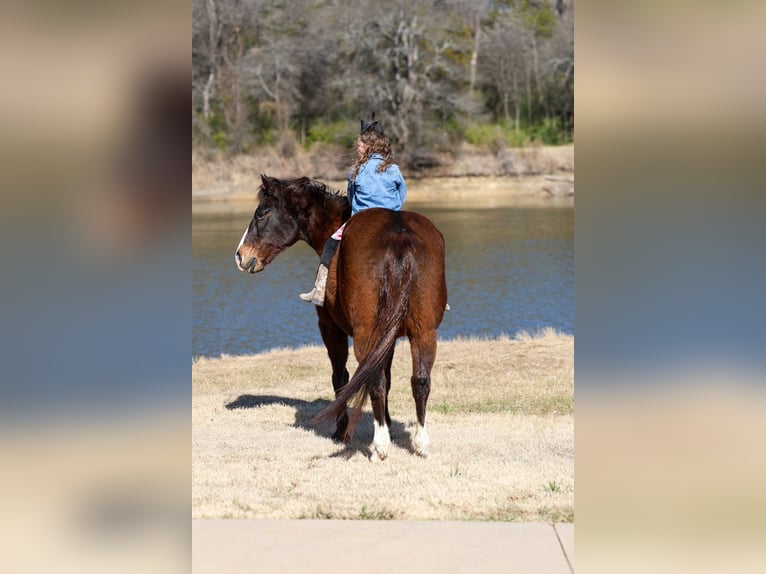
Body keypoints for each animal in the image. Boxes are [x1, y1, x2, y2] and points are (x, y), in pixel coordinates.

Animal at [235, 175, 447, 461]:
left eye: (261, 213)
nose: (241, 255)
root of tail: (398, 234)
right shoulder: (389, 336)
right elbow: (388, 376)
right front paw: (388, 423)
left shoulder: (330, 328)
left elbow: (341, 378)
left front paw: (341, 429)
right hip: (423, 331)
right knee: (420, 380)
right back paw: (420, 443)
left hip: (366, 332)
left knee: (373, 380)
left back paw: (380, 447)